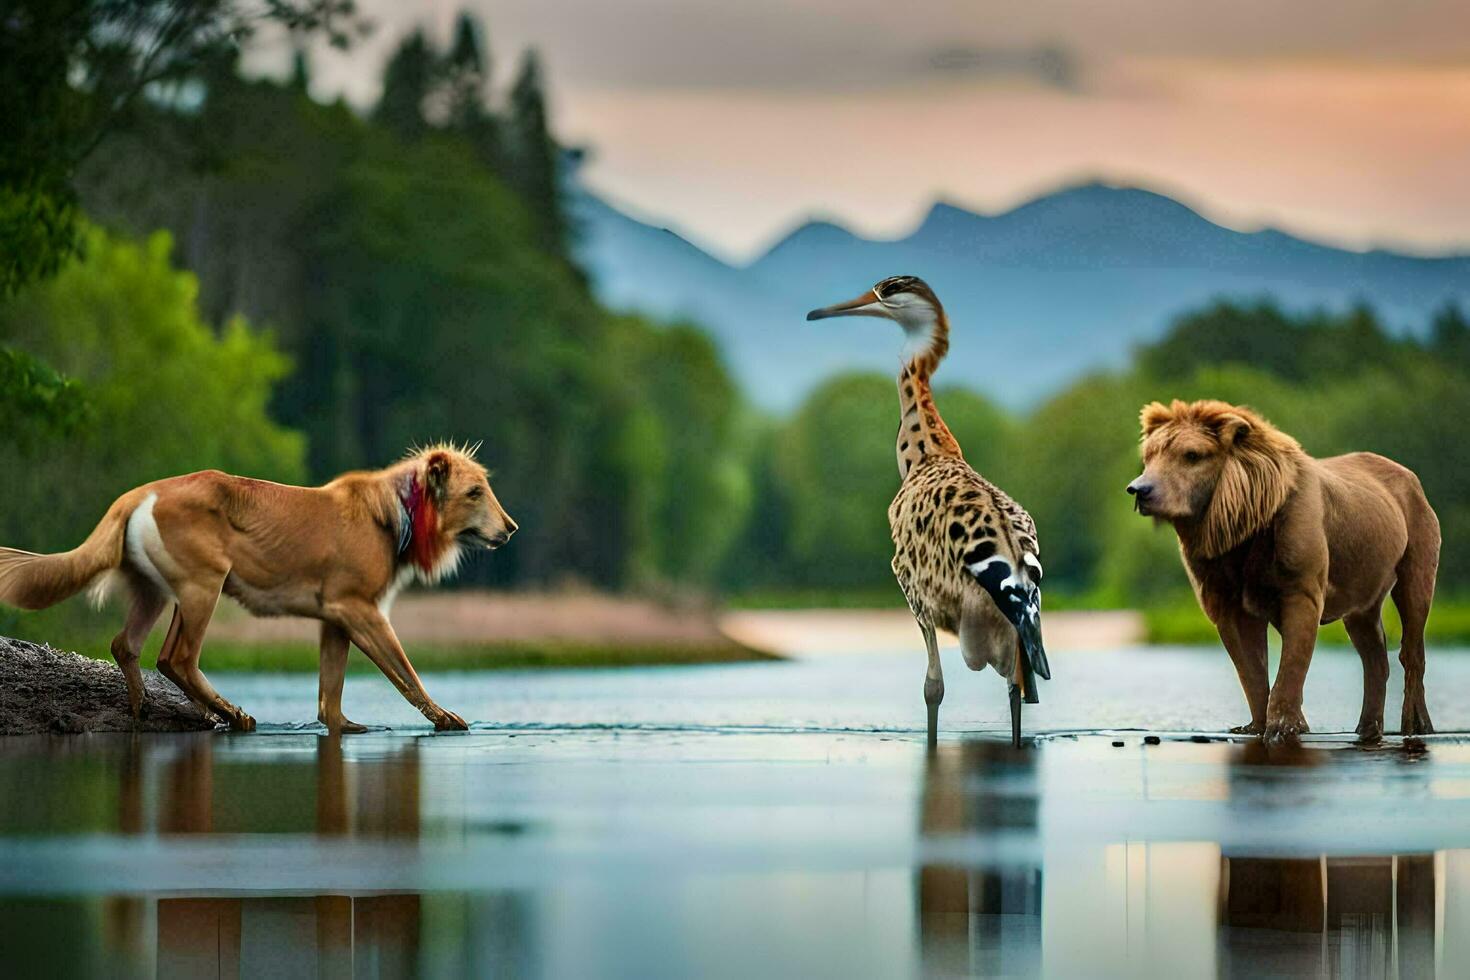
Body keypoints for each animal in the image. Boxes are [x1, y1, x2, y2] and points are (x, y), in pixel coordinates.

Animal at [0, 443, 517, 728]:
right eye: (474, 492)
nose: (510, 528)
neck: (398, 518)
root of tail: (136, 495)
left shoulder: (335, 616)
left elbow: (331, 696)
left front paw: (348, 727)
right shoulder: (360, 607)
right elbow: (405, 673)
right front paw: (446, 717)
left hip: (158, 589)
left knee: (129, 646)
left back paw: (145, 710)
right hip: (204, 583)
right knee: (178, 657)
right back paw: (233, 715)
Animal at [1134, 399, 1434, 743]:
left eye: (1191, 454)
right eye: (1148, 457)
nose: (1140, 490)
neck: (1241, 529)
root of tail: (1411, 475)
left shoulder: (1300, 581)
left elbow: (1293, 656)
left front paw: (1283, 727)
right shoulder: (1222, 585)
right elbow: (1249, 666)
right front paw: (1255, 726)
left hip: (1416, 544)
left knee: (1413, 629)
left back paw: (1416, 725)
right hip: (1364, 581)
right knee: (1371, 646)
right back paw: (1366, 727)